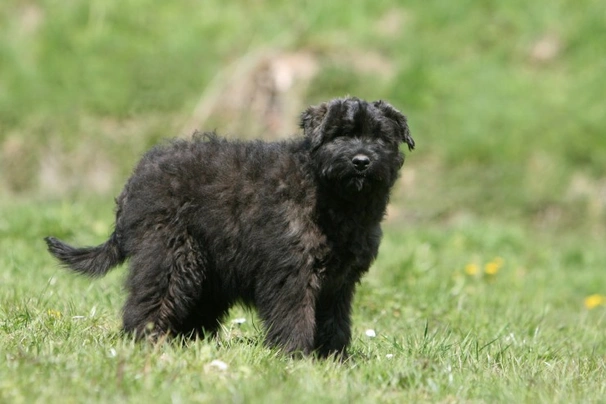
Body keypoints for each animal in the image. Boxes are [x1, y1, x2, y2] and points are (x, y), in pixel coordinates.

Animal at [46, 96, 418, 358]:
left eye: (381, 137)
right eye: (339, 135)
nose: (361, 161)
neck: (331, 198)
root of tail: (135, 179)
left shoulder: (340, 281)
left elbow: (335, 321)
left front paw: (333, 358)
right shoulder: (291, 272)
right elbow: (294, 315)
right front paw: (295, 355)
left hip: (208, 271)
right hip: (171, 255)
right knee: (149, 300)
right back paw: (147, 341)